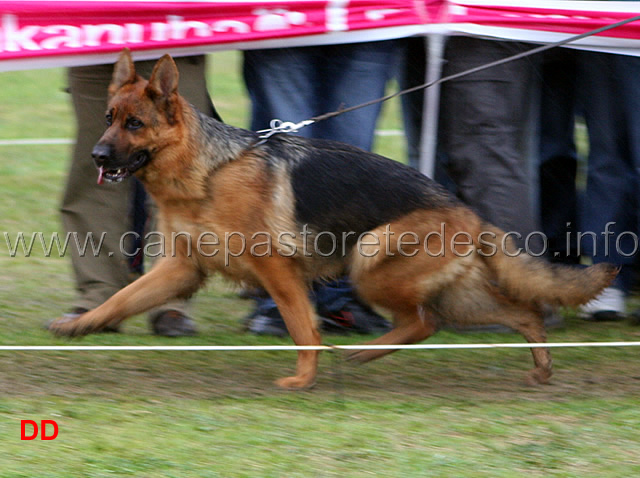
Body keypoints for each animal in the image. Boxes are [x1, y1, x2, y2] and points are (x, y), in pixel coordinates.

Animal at [51, 50, 620, 390]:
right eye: (108, 119)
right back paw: (536, 366)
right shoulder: (180, 269)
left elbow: (303, 328)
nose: (97, 156)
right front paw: (80, 324)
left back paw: (364, 353)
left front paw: (303, 380)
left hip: (370, 264)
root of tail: (467, 211)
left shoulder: (277, 272)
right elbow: (119, 299)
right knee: (516, 314)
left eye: (135, 124)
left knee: (424, 322)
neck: (206, 170)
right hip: (454, 294)